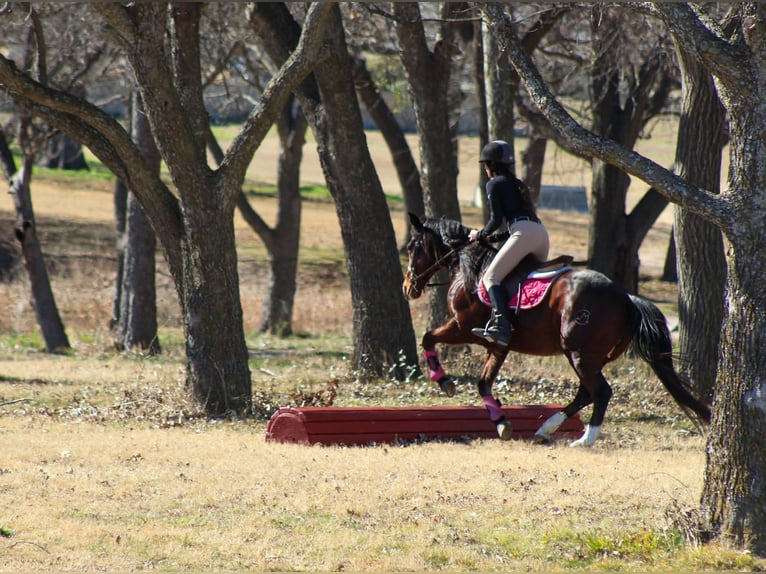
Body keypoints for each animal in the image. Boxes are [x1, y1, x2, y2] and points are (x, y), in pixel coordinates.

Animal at [402, 213, 711, 446]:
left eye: (412, 247)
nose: (408, 287)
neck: (472, 267)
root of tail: (626, 298)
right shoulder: (498, 346)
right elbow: (484, 383)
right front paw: (501, 423)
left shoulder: (462, 327)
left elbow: (427, 338)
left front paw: (443, 381)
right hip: (589, 356)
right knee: (586, 393)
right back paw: (546, 429)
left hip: (578, 353)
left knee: (600, 392)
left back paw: (585, 439)